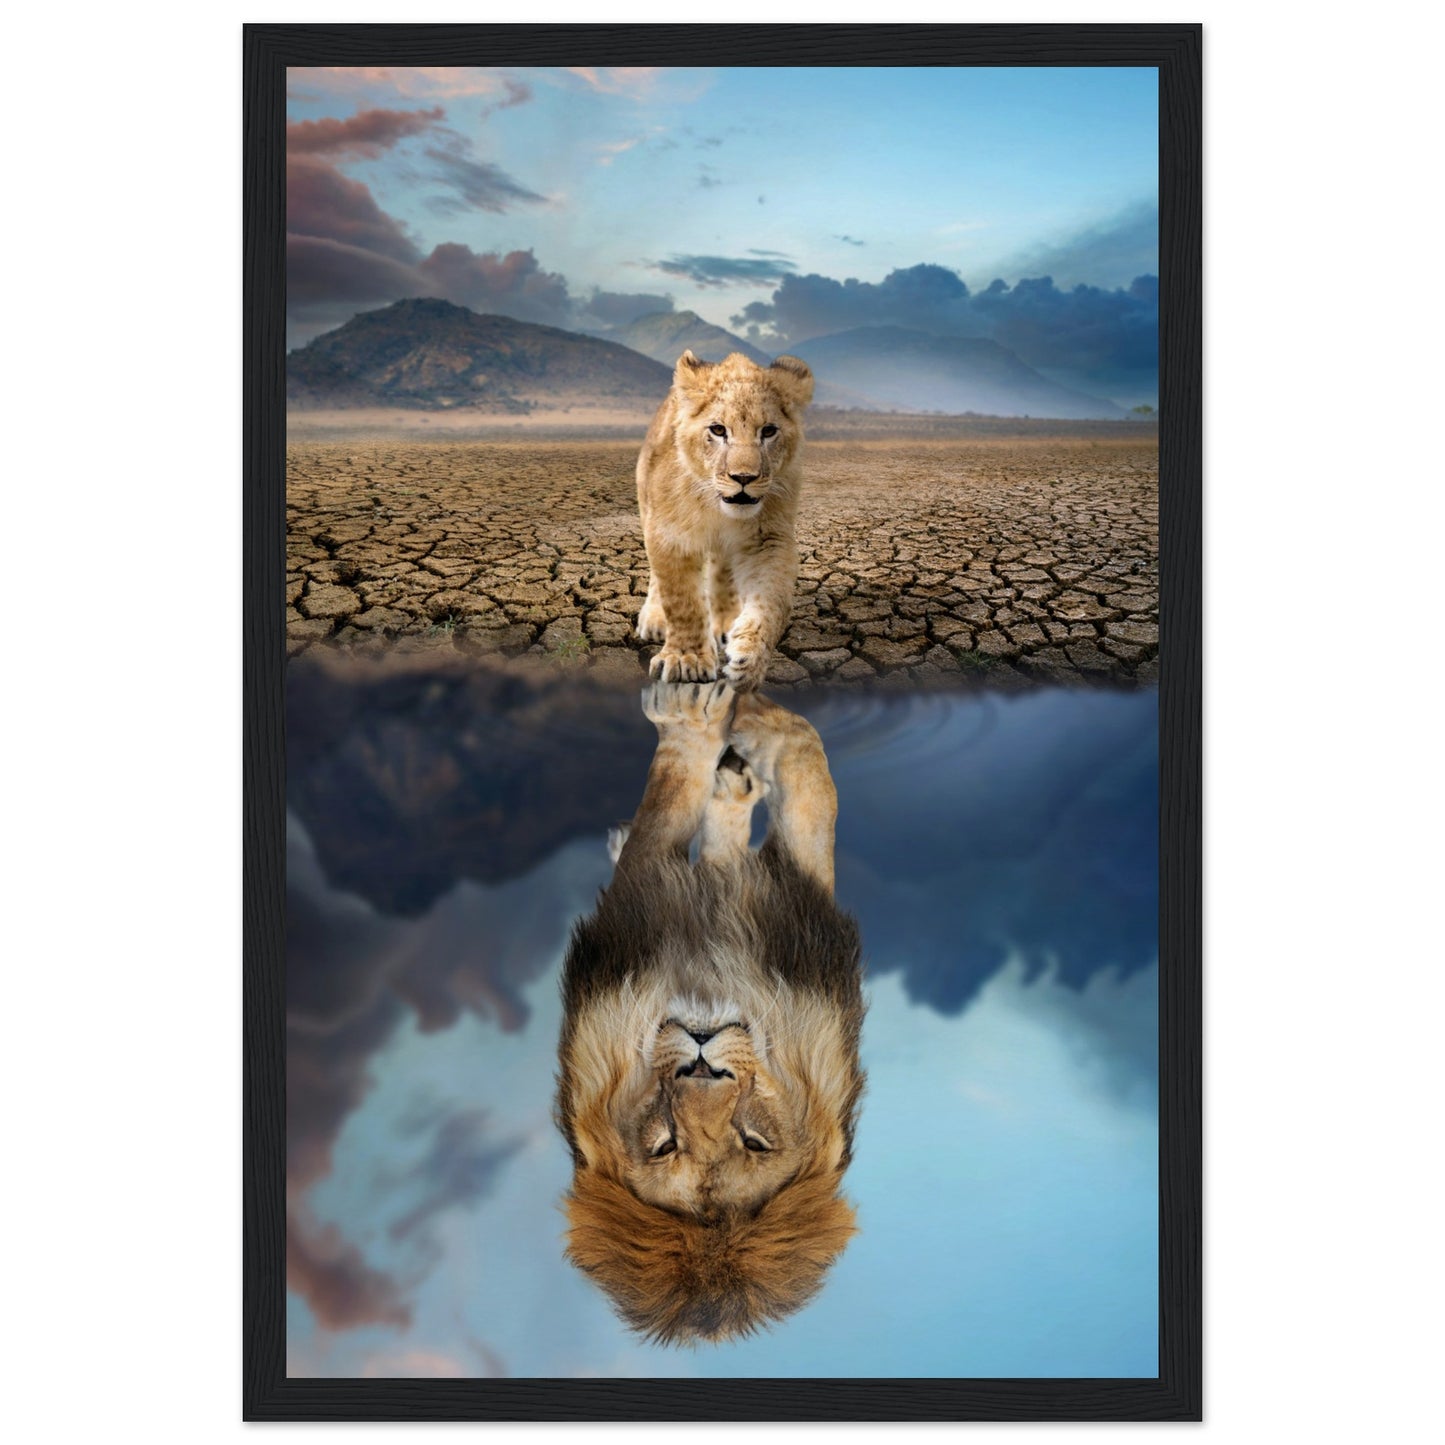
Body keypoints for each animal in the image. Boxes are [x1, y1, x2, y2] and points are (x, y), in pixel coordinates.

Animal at [555, 681, 865, 1344]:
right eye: (665, 1145)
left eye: (753, 1141)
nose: (701, 1065)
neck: (708, 975)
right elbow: (801, 776)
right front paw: (720, 722)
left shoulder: (797, 914)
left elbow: (805, 781)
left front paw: (724, 723)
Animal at [635, 350, 815, 691]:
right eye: (718, 430)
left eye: (768, 431)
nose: (743, 478)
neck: (717, 509)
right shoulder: (670, 534)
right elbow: (682, 600)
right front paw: (687, 660)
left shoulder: (768, 539)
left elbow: (772, 601)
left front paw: (749, 658)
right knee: (657, 577)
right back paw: (654, 619)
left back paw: (726, 624)